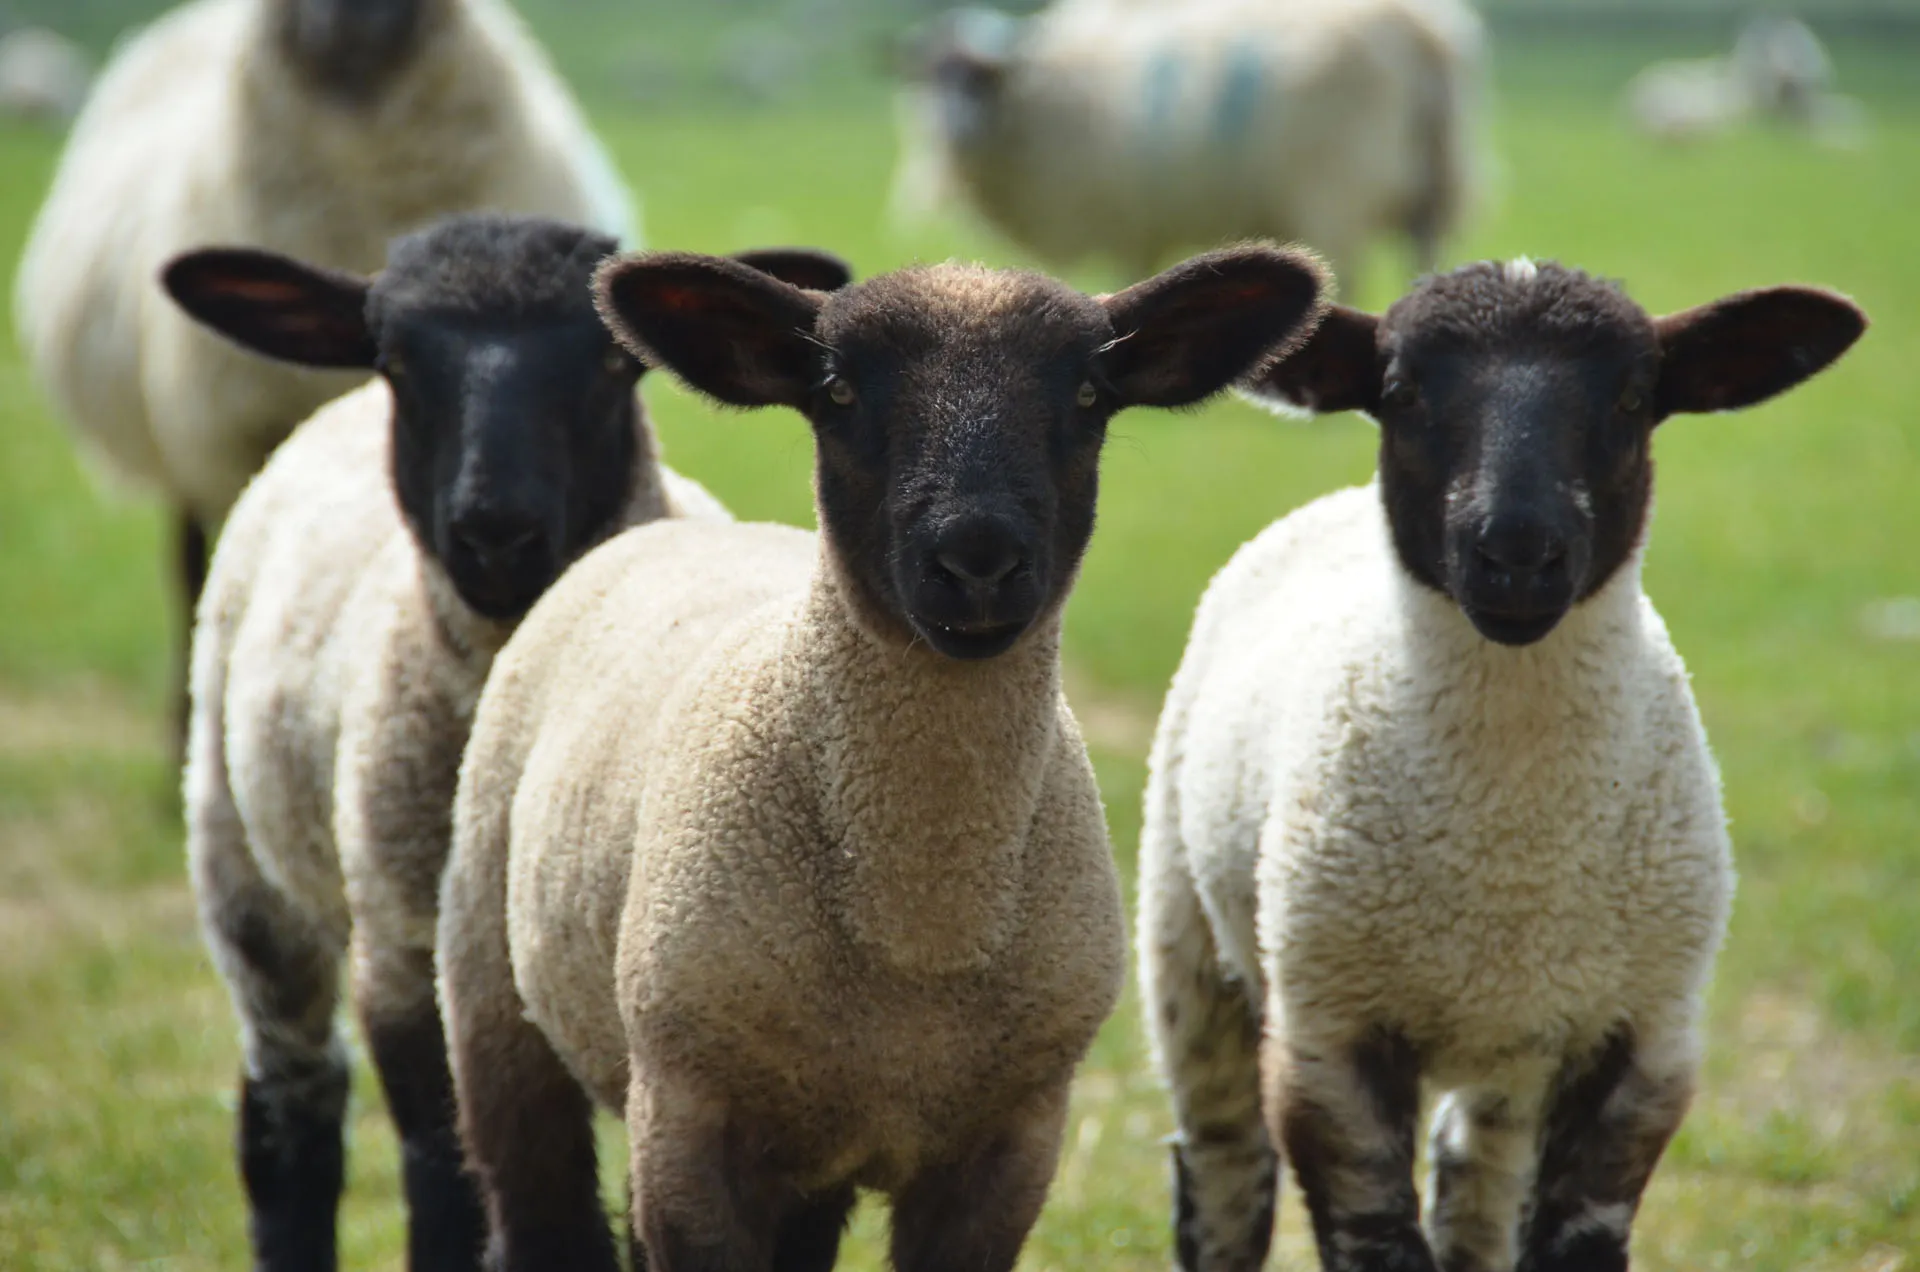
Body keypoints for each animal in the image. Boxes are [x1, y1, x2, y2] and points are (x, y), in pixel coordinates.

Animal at [167, 211, 850, 1272]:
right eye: (398, 361)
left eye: (614, 363)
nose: (496, 533)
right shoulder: (410, 953)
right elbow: (445, 1180)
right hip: (243, 858)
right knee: (290, 1108)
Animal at [435, 242, 1331, 1271]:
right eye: (837, 389)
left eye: (1091, 393)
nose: (977, 559)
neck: (916, 934)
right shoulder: (691, 1126)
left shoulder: (1010, 1147)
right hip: (494, 994)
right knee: (535, 1200)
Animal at [889, 0, 1484, 288]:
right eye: (928, 78)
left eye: (981, 80)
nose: (954, 131)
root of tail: (1422, 33)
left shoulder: (1124, 215)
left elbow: (1129, 276)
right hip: (1431, 182)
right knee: (1422, 255)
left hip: (1335, 187)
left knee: (1350, 275)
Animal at [1139, 258, 1867, 1272]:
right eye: (1400, 392)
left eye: (1635, 398)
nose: (1517, 553)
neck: (1511, 847)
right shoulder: (1329, 1039)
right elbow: (1376, 1245)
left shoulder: (1642, 1042)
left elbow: (1571, 1245)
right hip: (1188, 938)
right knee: (1221, 1169)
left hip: (1517, 1046)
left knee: (1475, 1185)